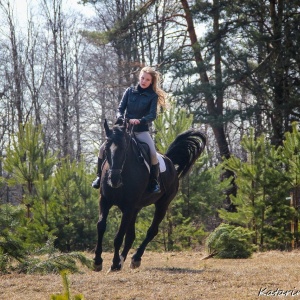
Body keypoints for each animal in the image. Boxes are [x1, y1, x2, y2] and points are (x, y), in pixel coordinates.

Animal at [94, 120, 206, 272]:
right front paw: (97, 261)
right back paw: (124, 260)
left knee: (152, 231)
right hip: (136, 209)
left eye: (124, 149)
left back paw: (135, 258)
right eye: (106, 149)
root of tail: (170, 162)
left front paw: (114, 263)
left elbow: (119, 236)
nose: (114, 180)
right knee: (131, 236)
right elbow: (101, 227)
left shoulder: (128, 208)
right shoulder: (105, 201)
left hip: (162, 205)